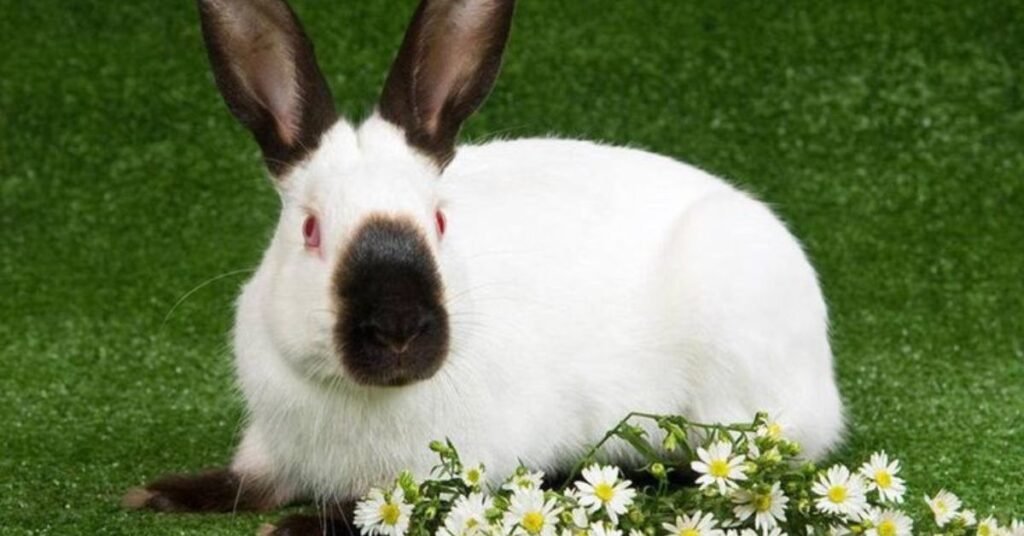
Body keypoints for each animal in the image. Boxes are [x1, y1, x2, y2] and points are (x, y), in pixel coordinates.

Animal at [122, 0, 844, 533]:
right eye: (310, 230)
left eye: (441, 222)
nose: (398, 331)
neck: (362, 396)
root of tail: (825, 383)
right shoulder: (271, 447)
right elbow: (244, 483)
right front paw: (158, 495)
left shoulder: (450, 468)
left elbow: (376, 511)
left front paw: (299, 526)